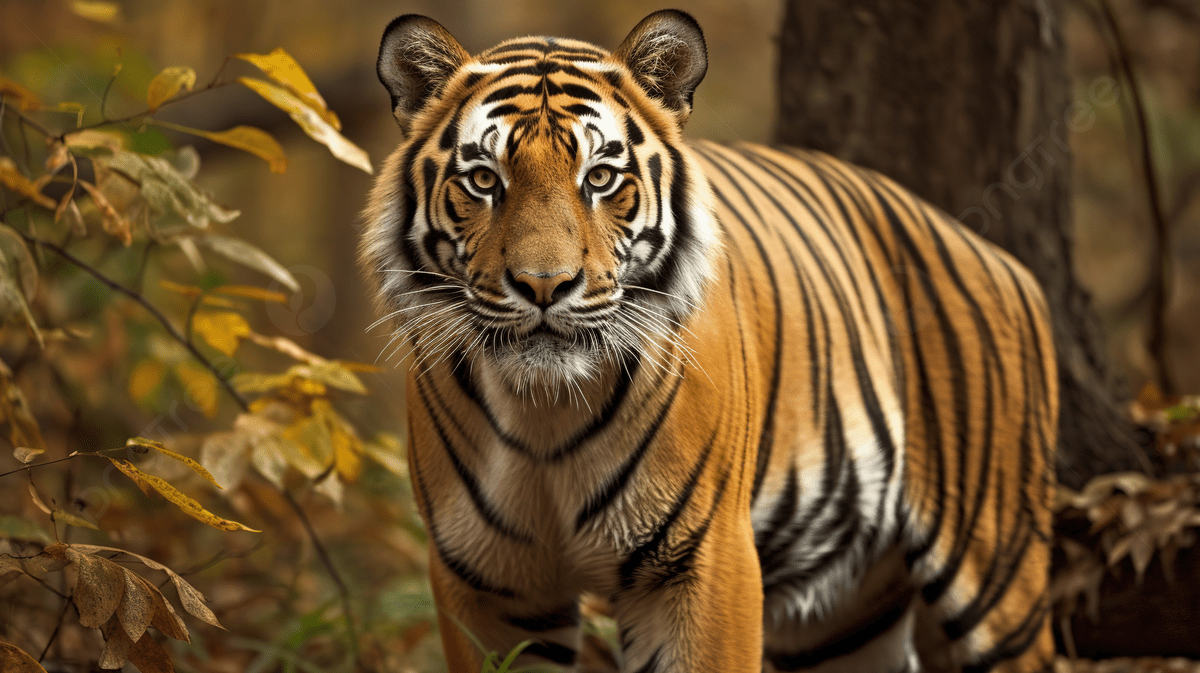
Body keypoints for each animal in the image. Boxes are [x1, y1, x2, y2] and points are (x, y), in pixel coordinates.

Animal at [360, 9, 1058, 673]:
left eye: (600, 178)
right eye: (483, 180)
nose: (544, 285)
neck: (545, 414)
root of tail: (1002, 259)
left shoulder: (701, 560)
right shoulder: (486, 584)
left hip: (998, 574)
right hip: (843, 624)